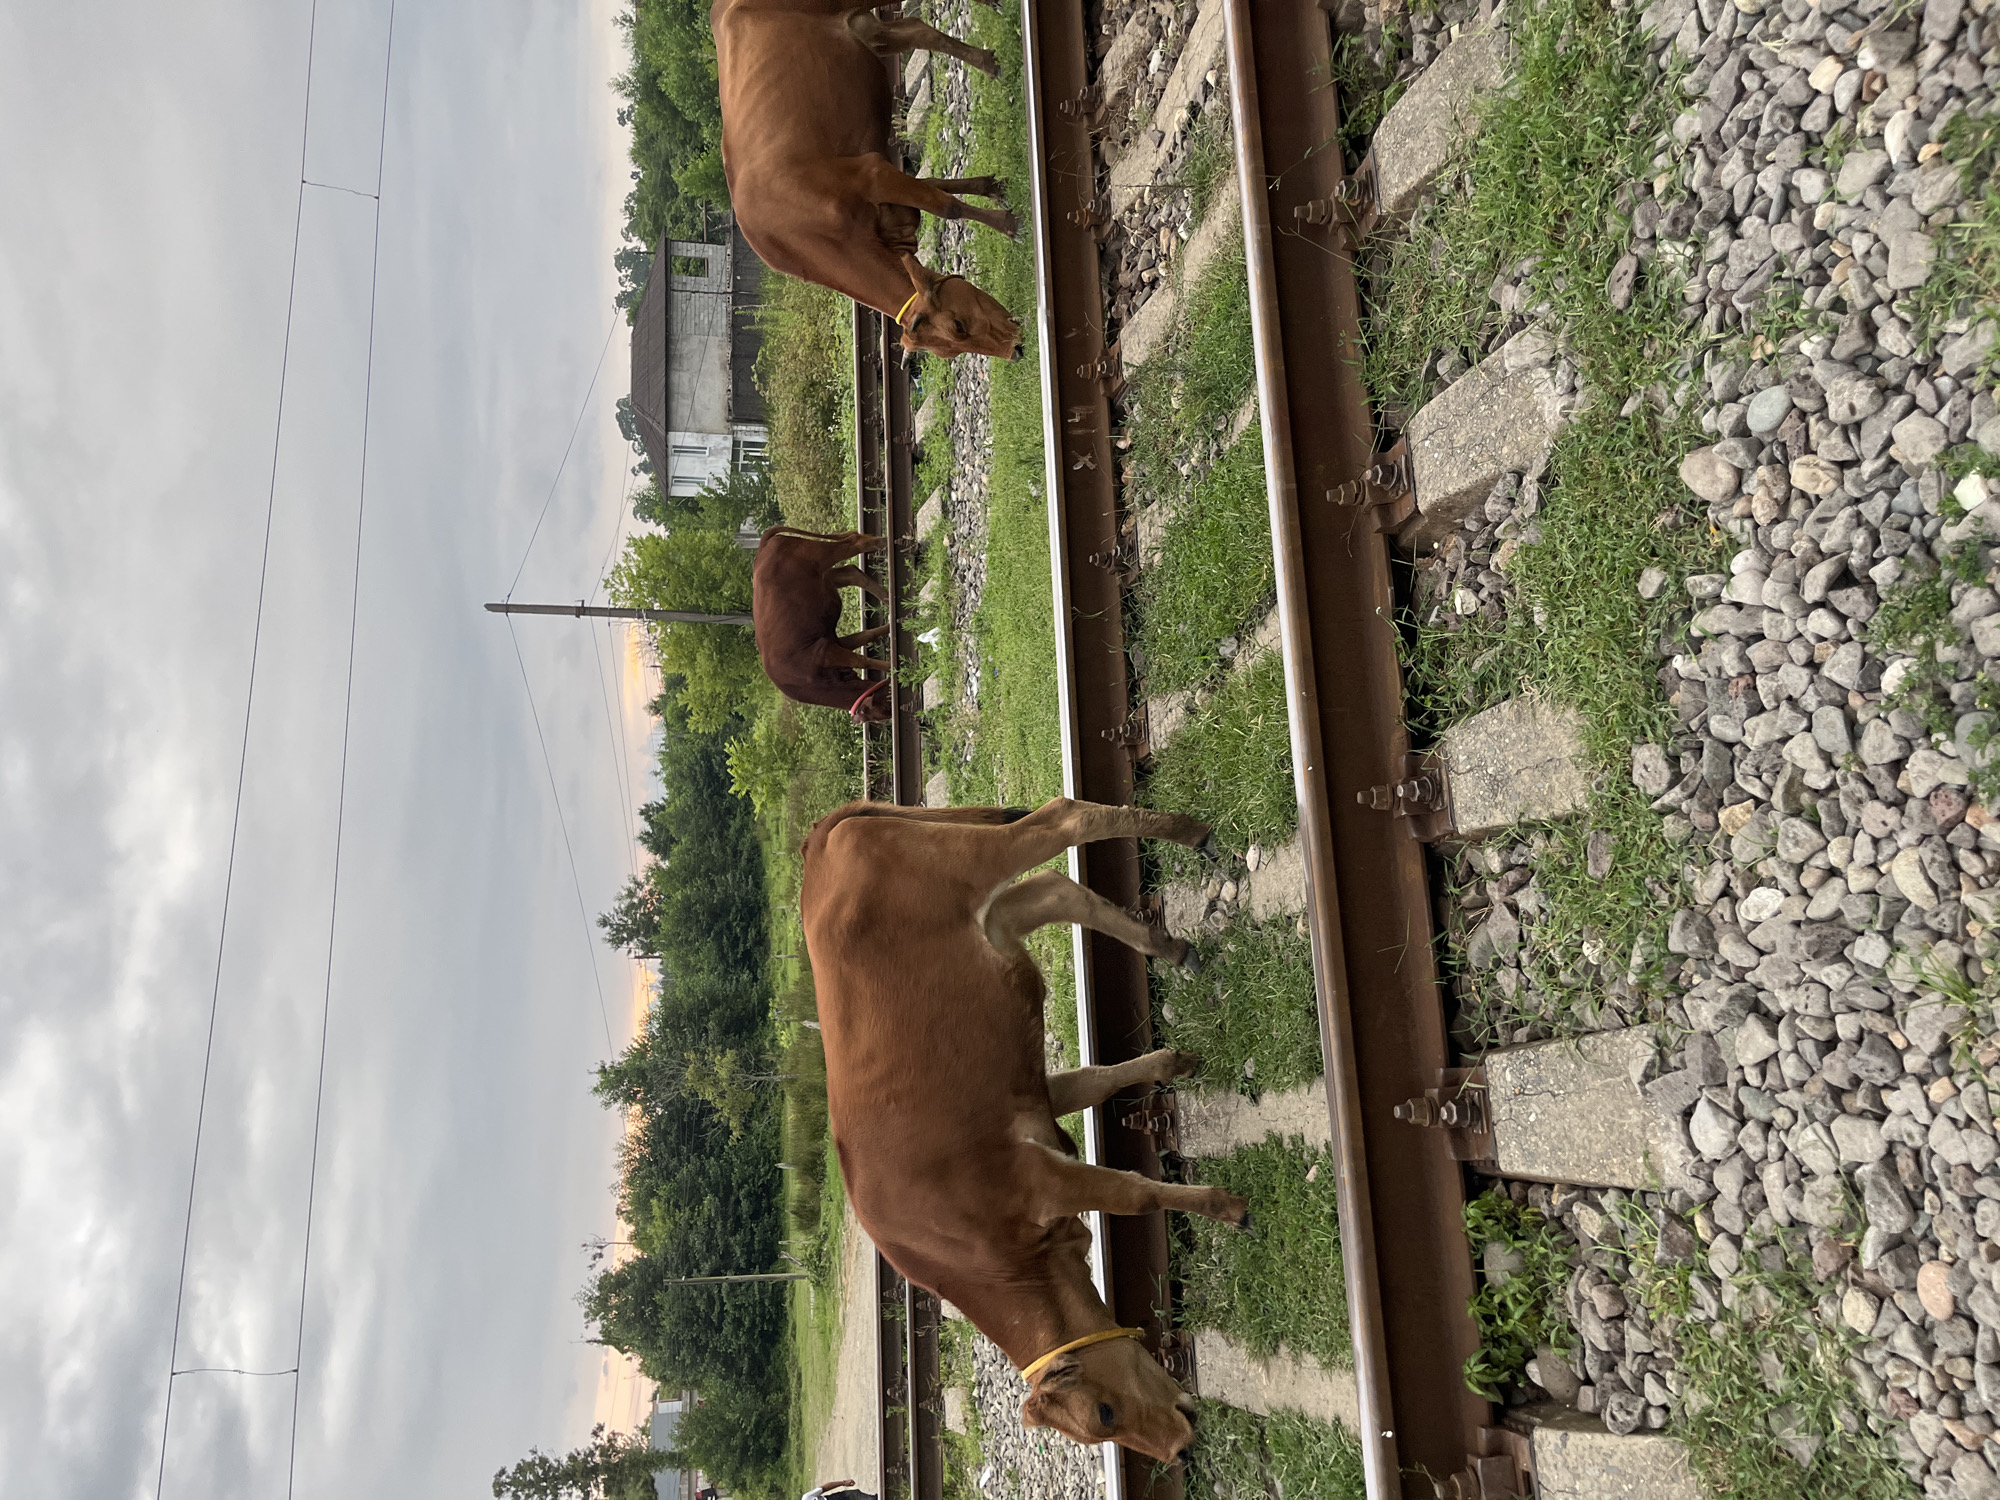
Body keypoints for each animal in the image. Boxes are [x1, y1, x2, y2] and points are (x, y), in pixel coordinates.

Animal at [713, 0, 1025, 362]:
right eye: (954, 338)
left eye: (958, 326)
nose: (1016, 349)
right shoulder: (888, 182)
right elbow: (939, 187)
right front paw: (995, 188)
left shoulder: (873, 175)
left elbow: (949, 207)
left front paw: (1009, 224)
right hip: (870, 34)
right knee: (917, 32)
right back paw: (988, 63)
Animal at [752, 526, 896, 722]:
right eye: (886, 709)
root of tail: (762, 548)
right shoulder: (832, 643)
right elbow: (866, 640)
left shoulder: (824, 650)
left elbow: (861, 660)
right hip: (825, 577)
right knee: (852, 572)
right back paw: (888, 598)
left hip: (820, 557)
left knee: (854, 543)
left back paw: (884, 542)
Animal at [801, 797, 1249, 1463]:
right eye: (1104, 1420)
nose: (1179, 1452)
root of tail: (819, 840)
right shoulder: (1035, 1101)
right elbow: (1095, 1081)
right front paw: (1170, 1064)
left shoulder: (1033, 1178)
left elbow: (1135, 1193)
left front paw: (1228, 1207)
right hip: (995, 921)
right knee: (1056, 889)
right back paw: (1167, 947)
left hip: (971, 862)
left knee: (1061, 821)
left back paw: (1191, 835)